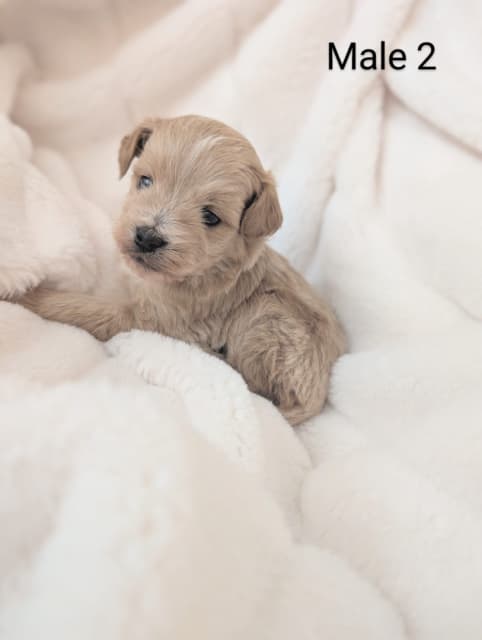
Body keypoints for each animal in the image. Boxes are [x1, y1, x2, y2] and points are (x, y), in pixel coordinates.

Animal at [20, 115, 346, 425]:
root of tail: (316, 399)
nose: (147, 237)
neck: (205, 270)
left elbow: (84, 309)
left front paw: (30, 297)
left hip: (267, 320)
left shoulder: (149, 318)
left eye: (210, 217)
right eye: (145, 181)